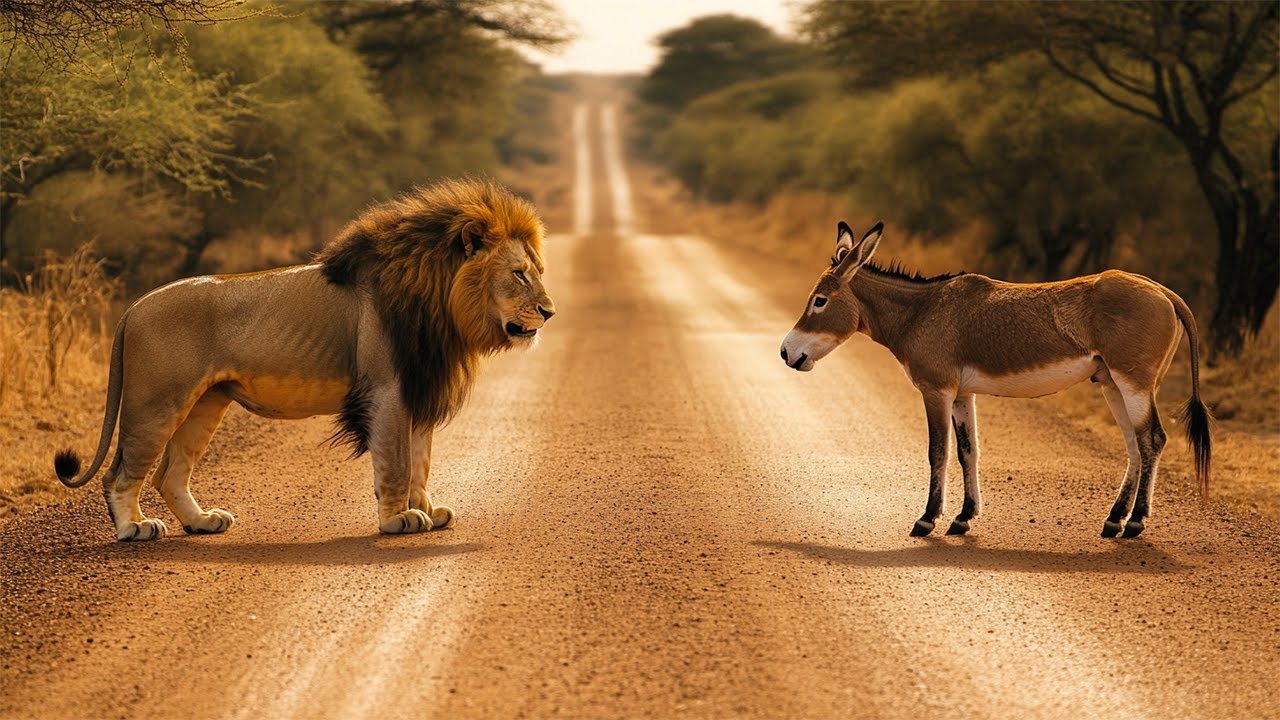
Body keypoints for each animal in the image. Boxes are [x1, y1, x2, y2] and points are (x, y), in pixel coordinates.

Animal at [53, 178, 555, 541]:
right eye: (518, 274)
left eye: (537, 272)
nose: (550, 311)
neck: (442, 303)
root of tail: (134, 307)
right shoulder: (388, 388)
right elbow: (395, 461)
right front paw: (400, 519)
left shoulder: (418, 386)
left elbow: (421, 459)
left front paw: (426, 508)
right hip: (156, 401)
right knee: (120, 474)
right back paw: (134, 529)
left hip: (206, 403)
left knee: (170, 474)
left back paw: (202, 522)